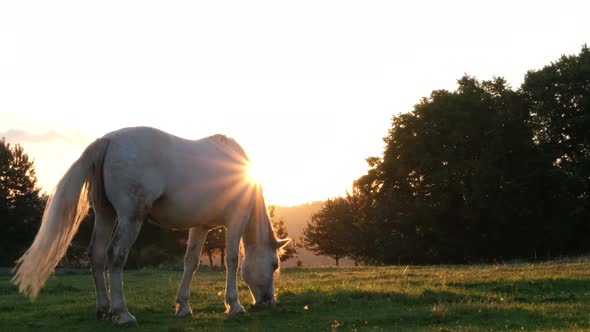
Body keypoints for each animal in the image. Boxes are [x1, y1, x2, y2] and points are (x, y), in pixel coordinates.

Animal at [12, 126, 290, 324]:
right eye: (274, 264)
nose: (269, 302)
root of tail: (107, 140)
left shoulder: (200, 226)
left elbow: (191, 263)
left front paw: (183, 306)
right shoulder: (235, 220)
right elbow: (232, 259)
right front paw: (234, 305)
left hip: (105, 214)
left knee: (97, 254)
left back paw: (104, 309)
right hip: (130, 218)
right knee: (115, 255)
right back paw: (122, 313)